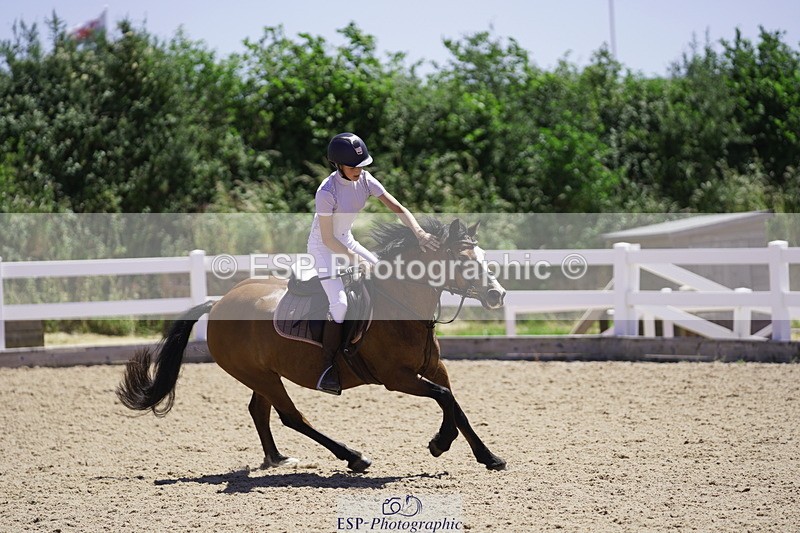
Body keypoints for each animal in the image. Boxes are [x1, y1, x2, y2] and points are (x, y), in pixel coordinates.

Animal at [116, 218, 507, 472]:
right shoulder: (397, 377)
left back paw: (276, 458)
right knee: (291, 416)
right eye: (462, 261)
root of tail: (218, 303)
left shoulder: (433, 369)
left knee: (260, 411)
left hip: (263, 375)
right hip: (260, 375)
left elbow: (454, 403)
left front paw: (489, 457)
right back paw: (354, 457)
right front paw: (439, 443)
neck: (401, 305)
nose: (497, 295)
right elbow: (443, 397)